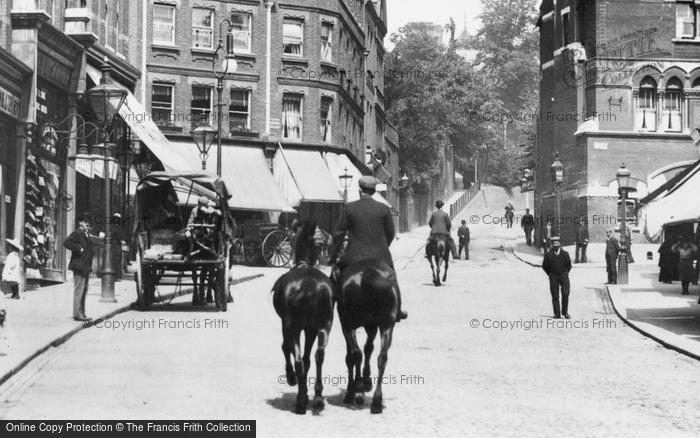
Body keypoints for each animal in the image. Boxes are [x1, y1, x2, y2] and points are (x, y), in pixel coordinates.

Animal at [270, 221, 334, 416]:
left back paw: (300, 401)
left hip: (294, 327)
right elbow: (307, 359)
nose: (331, 237)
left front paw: (292, 379)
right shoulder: (312, 329)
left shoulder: (286, 324)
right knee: (319, 355)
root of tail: (310, 283)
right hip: (324, 326)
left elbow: (286, 348)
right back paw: (318, 398)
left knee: (297, 358)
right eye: (322, 232)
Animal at [338, 258, 402, 412]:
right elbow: (369, 349)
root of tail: (368, 273)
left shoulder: (346, 326)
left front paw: (354, 389)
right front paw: (366, 382)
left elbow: (351, 357)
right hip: (387, 326)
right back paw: (376, 401)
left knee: (356, 353)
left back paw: (358, 391)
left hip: (348, 325)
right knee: (382, 357)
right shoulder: (372, 326)